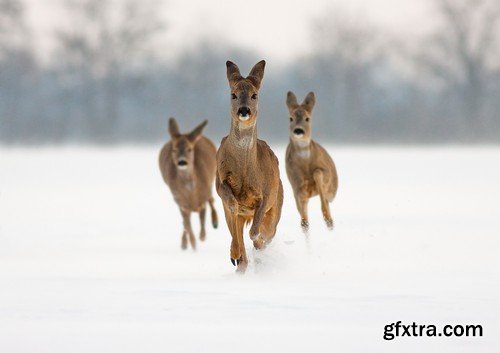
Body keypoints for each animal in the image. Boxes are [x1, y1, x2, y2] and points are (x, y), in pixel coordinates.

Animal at [158, 118, 217, 250]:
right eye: (174, 149)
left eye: (190, 149)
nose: (182, 162)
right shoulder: (180, 201)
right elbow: (187, 224)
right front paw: (193, 245)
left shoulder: (203, 196)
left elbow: (202, 216)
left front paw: (202, 237)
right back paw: (185, 243)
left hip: (211, 180)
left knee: (212, 199)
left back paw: (215, 222)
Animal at [217, 59, 284, 272]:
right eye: (233, 94)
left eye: (255, 95)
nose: (244, 110)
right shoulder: (220, 182)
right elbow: (231, 204)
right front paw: (236, 255)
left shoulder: (267, 193)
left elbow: (255, 232)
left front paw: (257, 248)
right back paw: (238, 259)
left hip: (277, 205)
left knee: (266, 233)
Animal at [286, 91, 340, 234]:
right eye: (291, 118)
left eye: (307, 118)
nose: (298, 130)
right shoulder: (295, 184)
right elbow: (303, 215)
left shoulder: (326, 173)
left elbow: (317, 172)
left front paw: (326, 216)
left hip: (332, 190)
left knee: (327, 201)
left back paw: (329, 222)